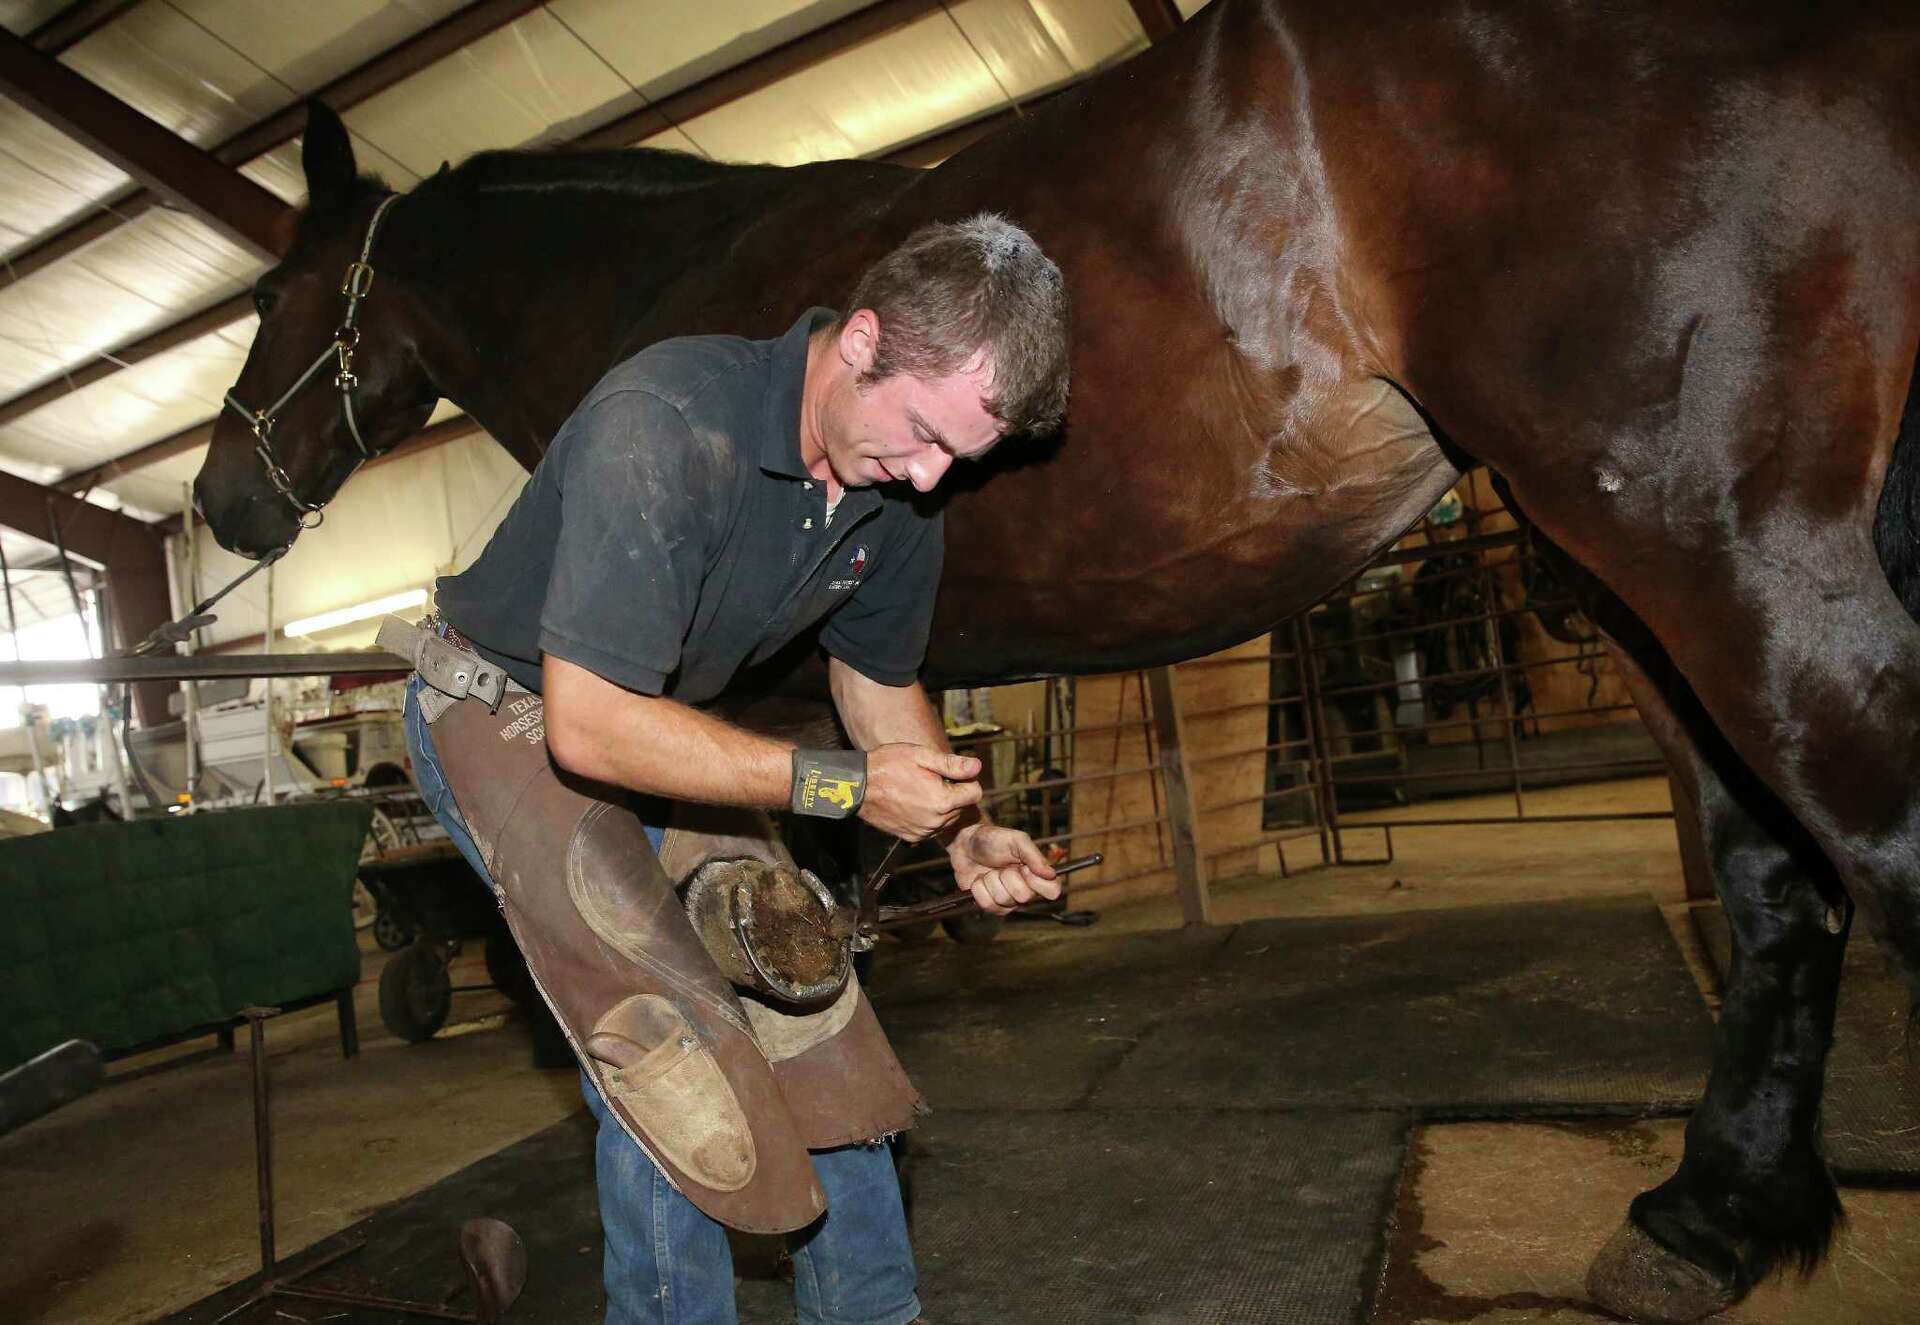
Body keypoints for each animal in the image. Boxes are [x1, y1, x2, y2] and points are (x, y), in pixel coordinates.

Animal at [191, 5, 1920, 1313]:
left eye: (277, 294)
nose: (219, 501)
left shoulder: (727, 697)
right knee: (1777, 881)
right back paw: (1702, 1220)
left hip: (1709, 539)